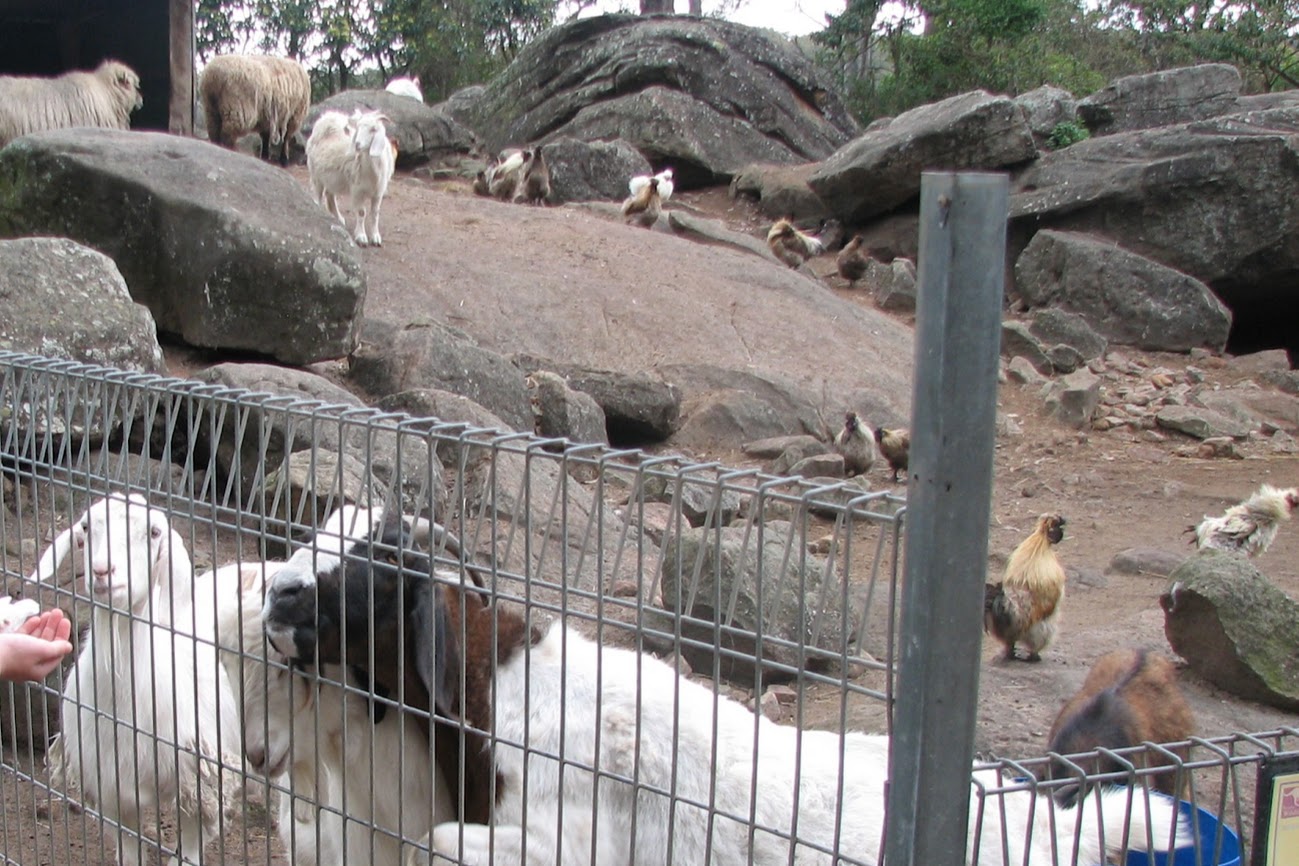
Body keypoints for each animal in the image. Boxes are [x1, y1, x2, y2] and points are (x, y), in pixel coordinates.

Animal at [29, 493, 242, 866]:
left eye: (154, 532)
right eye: (86, 528)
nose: (102, 571)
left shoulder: (200, 783)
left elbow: (189, 851)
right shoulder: (112, 789)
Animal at [307, 109, 397, 246]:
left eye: (373, 129)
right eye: (358, 127)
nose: (357, 144)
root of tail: (326, 119)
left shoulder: (378, 192)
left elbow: (375, 213)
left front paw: (375, 237)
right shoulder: (357, 189)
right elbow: (361, 212)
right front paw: (361, 237)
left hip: (331, 177)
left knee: (330, 195)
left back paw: (338, 218)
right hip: (316, 175)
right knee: (318, 195)